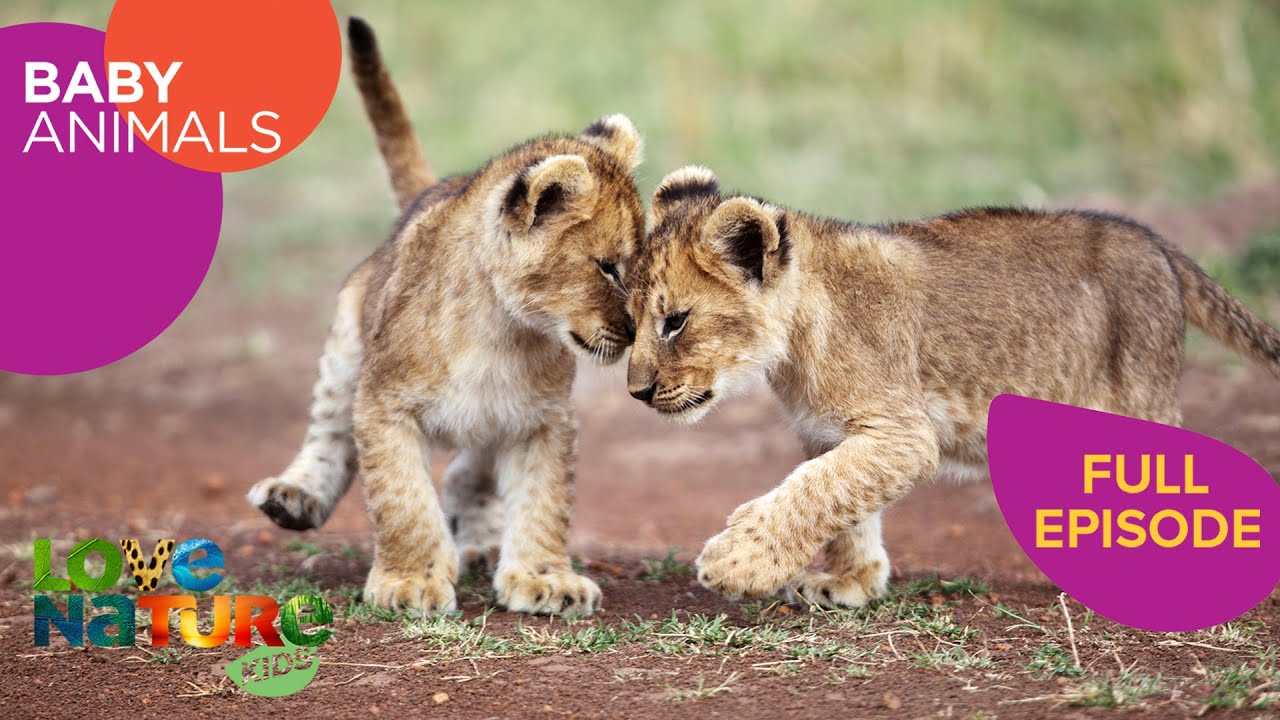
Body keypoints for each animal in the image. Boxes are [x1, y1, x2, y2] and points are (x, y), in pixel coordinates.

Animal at [246, 17, 645, 616]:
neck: (504, 331)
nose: (639, 331)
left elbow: (545, 501)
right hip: (346, 346)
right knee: (329, 433)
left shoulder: (544, 421)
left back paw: (481, 541)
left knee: (466, 472)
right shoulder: (383, 404)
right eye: (608, 268)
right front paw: (409, 581)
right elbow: (403, 500)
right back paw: (293, 498)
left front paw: (545, 579)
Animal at [625, 165, 1280, 608]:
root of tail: (1154, 242)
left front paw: (736, 563)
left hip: (1142, 396)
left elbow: (815, 491)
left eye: (675, 321)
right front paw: (849, 582)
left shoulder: (905, 433)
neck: (793, 343)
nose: (636, 392)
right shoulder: (831, 431)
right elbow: (843, 502)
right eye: (632, 319)